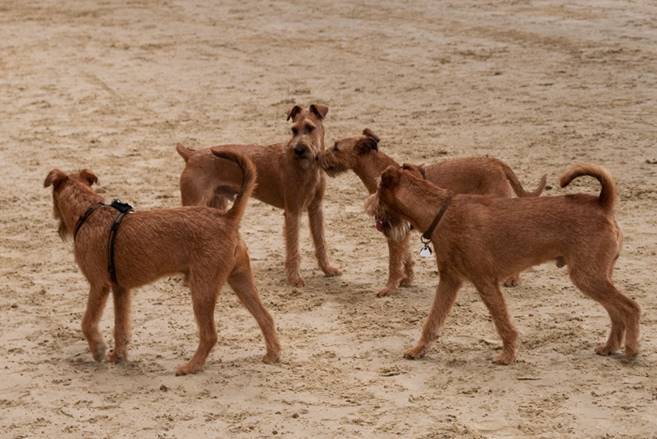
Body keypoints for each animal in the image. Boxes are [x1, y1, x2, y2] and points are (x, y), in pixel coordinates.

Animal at [43, 153, 280, 376]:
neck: (89, 212)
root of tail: (227, 217)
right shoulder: (120, 290)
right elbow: (120, 327)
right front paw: (118, 356)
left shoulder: (98, 285)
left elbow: (87, 322)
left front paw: (98, 350)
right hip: (240, 279)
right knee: (265, 317)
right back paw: (273, 354)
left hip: (202, 289)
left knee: (210, 335)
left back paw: (191, 367)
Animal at [177, 104, 338, 288]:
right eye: (294, 130)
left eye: (310, 128)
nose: (298, 149)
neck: (309, 168)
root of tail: (191, 155)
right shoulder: (293, 212)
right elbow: (293, 248)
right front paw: (294, 278)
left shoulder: (316, 209)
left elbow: (321, 242)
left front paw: (328, 269)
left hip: (215, 204)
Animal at [320, 129, 544, 298]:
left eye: (336, 147)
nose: (316, 156)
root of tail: (497, 163)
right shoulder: (400, 231)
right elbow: (406, 258)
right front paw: (407, 280)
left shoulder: (393, 232)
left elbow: (393, 263)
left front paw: (389, 288)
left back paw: (513, 278)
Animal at [368, 163, 640, 362]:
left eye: (379, 192)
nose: (369, 209)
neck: (440, 213)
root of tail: (602, 204)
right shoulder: (449, 281)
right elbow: (433, 320)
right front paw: (418, 350)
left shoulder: (485, 281)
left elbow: (501, 321)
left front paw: (507, 356)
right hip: (594, 277)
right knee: (616, 311)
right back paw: (609, 347)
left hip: (587, 277)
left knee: (630, 307)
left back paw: (631, 350)